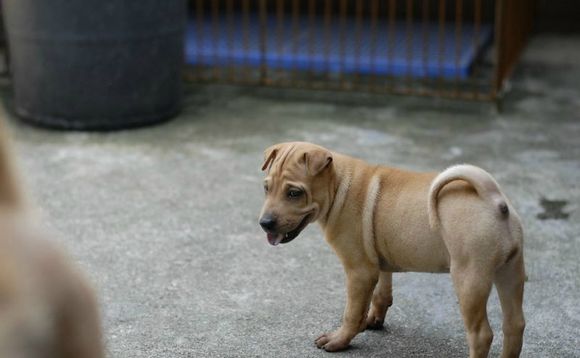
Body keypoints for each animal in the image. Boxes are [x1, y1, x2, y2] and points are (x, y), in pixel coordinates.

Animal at [258, 143, 524, 358]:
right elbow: (381, 294)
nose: (265, 223)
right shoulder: (377, 260)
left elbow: (352, 312)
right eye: (266, 188)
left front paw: (339, 340)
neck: (339, 184)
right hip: (510, 273)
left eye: (294, 193)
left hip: (469, 280)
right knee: (515, 326)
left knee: (481, 335)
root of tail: (493, 198)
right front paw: (373, 320)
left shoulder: (359, 271)